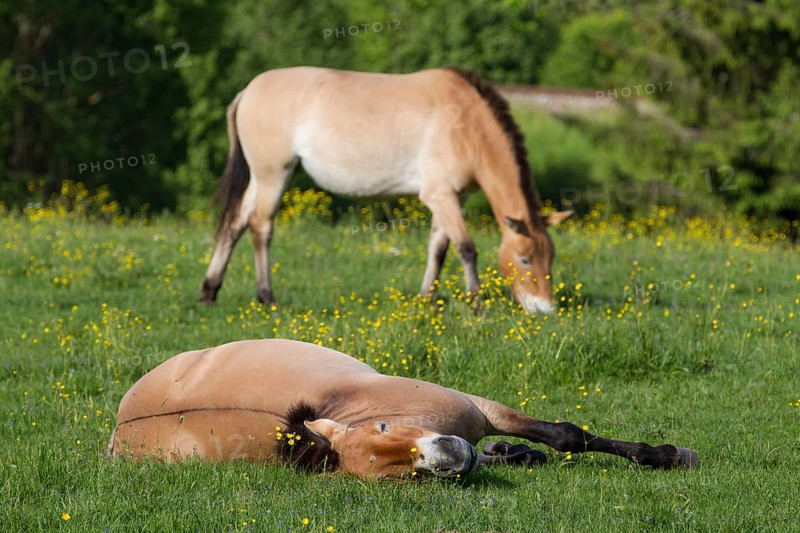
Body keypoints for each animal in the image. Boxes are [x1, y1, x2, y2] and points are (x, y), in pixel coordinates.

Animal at [199, 67, 572, 313]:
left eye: (550, 257)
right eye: (524, 259)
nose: (544, 309)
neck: (465, 124)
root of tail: (248, 91)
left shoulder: (451, 198)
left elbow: (438, 248)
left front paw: (426, 299)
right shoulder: (440, 195)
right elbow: (466, 248)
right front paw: (476, 302)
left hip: (263, 177)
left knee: (235, 223)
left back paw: (210, 291)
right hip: (273, 174)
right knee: (260, 227)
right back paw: (266, 297)